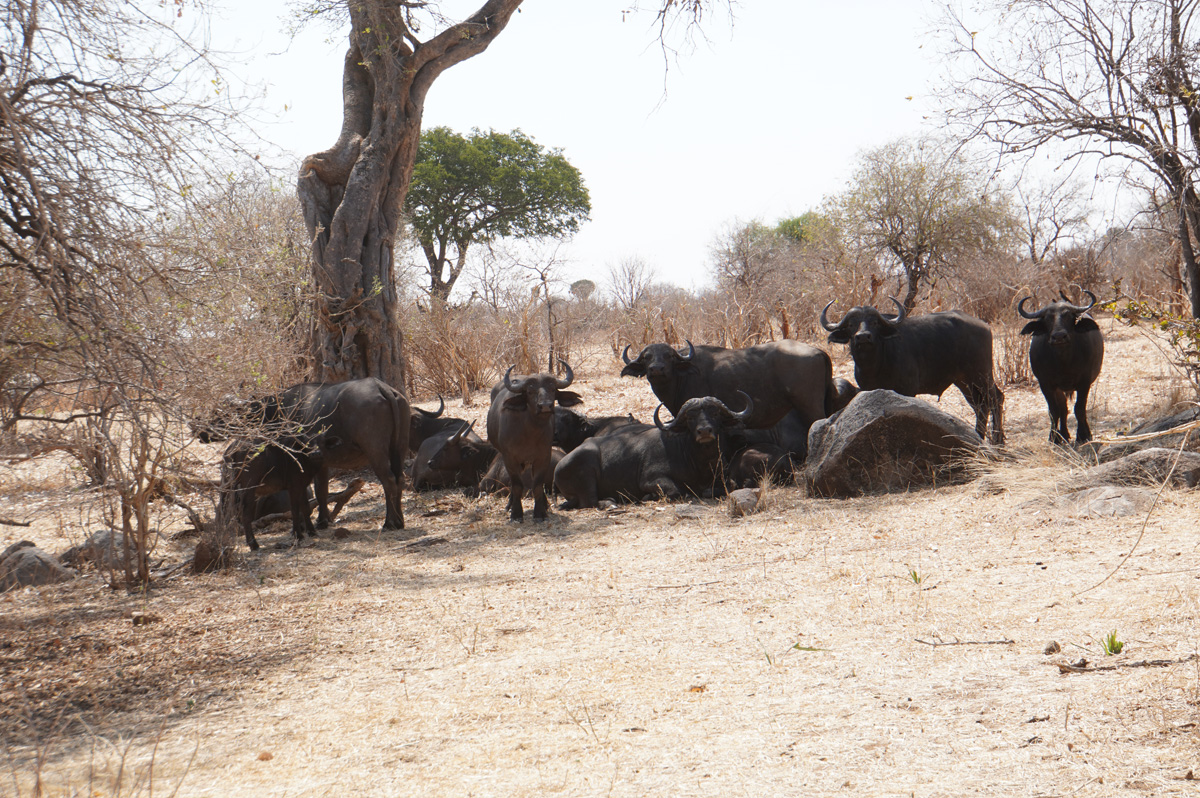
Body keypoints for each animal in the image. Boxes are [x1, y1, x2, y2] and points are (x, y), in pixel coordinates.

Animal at [487, 363, 582, 522]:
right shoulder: (510, 459)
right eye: (530, 391)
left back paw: (545, 505)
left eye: (552, 389)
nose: (545, 406)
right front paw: (516, 513)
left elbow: (537, 485)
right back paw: (510, 505)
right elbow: (517, 486)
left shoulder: (543, 457)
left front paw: (540, 513)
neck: (530, 433)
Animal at [554, 394, 753, 508]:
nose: (704, 431)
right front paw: (647, 497)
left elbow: (729, 486)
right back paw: (610, 503)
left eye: (715, 413)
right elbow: (676, 492)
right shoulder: (652, 480)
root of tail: (559, 467)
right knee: (589, 501)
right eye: (691, 417)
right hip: (587, 473)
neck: (700, 462)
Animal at [820, 299, 1005, 445]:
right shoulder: (868, 390)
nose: (863, 336)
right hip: (965, 382)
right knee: (981, 406)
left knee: (996, 399)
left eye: (874, 322)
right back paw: (979, 437)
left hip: (982, 375)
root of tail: (984, 325)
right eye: (851, 324)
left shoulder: (907, 390)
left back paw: (997, 441)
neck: (876, 364)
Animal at [1018, 291, 1105, 445]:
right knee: (1063, 408)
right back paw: (1063, 434)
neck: (1063, 362)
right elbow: (1054, 411)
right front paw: (1053, 437)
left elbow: (1080, 408)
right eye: (1047, 318)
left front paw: (1083, 435)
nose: (1059, 336)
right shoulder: (1046, 384)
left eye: (1069, 316)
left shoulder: (1085, 382)